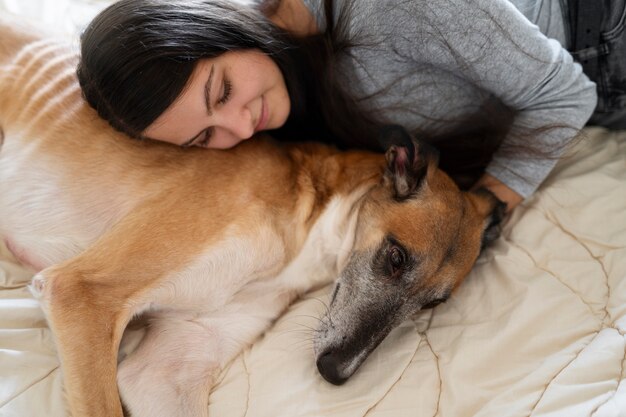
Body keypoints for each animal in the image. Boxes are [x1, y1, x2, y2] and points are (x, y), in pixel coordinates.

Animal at [0, 14, 502, 416]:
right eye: (395, 259)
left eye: (434, 305)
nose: (334, 373)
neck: (306, 226)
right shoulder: (81, 293)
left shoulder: (163, 372)